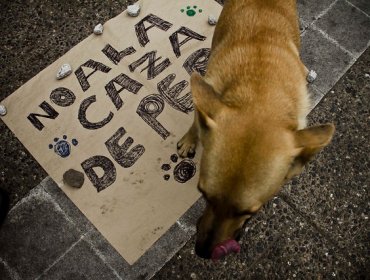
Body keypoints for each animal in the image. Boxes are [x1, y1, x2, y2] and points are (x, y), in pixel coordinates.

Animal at [176, 0, 336, 260]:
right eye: (203, 193)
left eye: (250, 212)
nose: (202, 252)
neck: (260, 89)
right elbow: (196, 121)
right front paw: (190, 140)